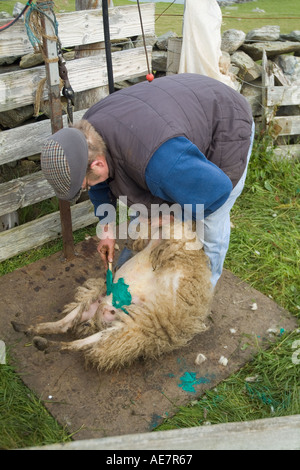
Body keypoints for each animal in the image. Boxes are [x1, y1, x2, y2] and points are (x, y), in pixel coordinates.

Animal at [12, 221, 213, 370]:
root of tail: (97, 318)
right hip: (95, 304)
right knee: (63, 325)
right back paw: (27, 329)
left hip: (125, 329)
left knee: (79, 343)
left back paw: (45, 343)